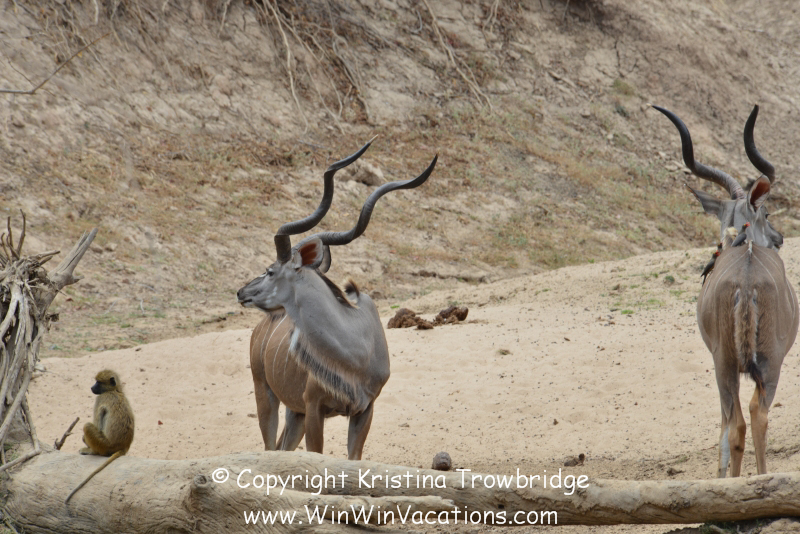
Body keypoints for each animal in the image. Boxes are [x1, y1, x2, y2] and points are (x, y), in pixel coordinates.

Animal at [237, 140, 437, 460]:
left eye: (269, 271)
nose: (242, 292)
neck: (356, 349)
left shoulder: (364, 409)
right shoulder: (314, 406)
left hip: (294, 412)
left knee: (281, 447)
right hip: (266, 393)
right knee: (270, 447)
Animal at [655, 105, 798, 477]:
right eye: (767, 211)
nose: (779, 238)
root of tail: (747, 284)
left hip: (728, 363)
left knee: (739, 421)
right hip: (762, 362)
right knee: (752, 416)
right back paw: (757, 478)